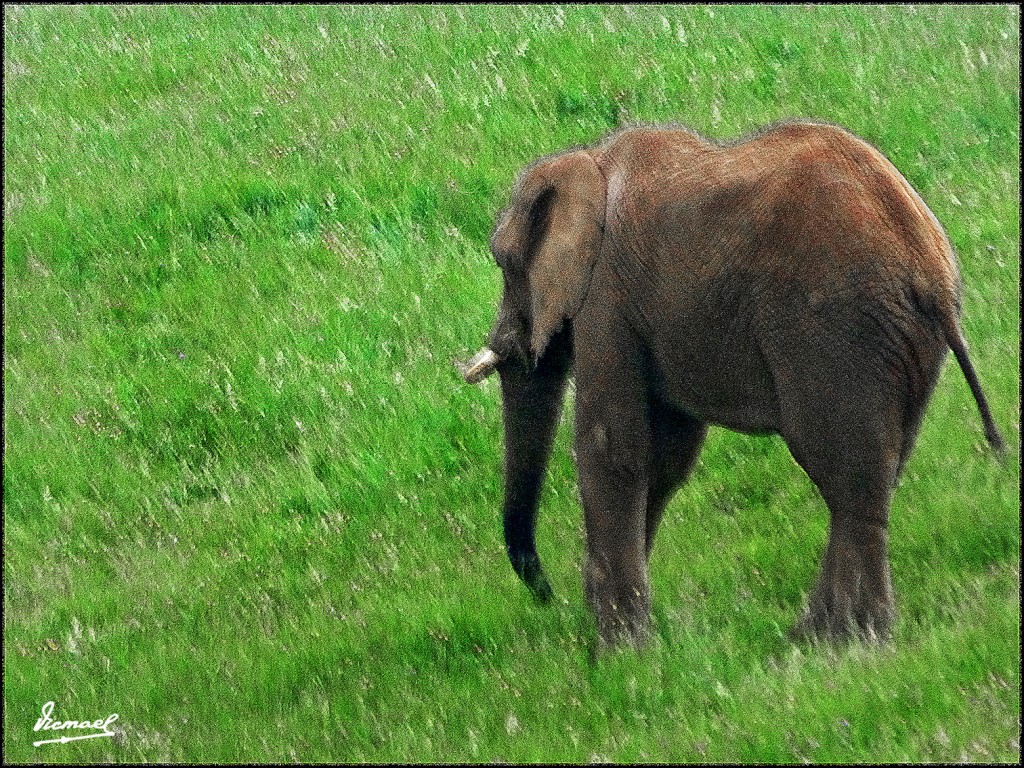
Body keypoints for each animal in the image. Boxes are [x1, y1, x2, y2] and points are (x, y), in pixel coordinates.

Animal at [460, 120, 1003, 651]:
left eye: (504, 263)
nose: (548, 595)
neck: (587, 160)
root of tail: (928, 270)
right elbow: (665, 457)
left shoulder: (604, 295)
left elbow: (612, 448)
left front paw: (620, 653)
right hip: (901, 343)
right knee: (875, 472)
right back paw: (820, 639)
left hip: (834, 332)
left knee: (845, 474)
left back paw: (847, 643)